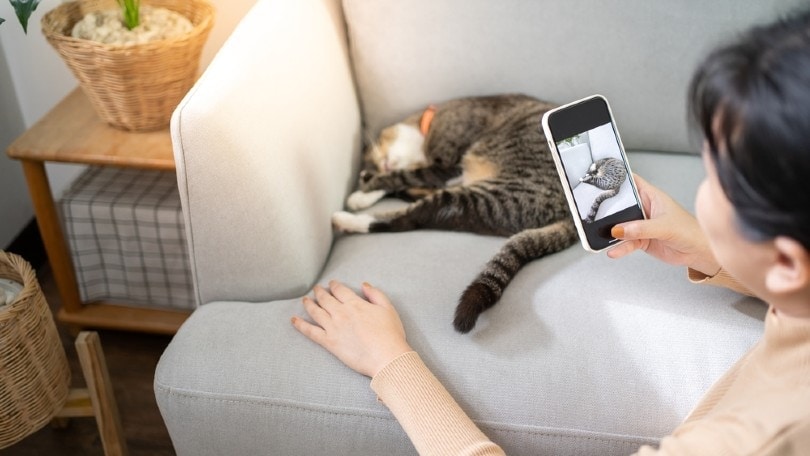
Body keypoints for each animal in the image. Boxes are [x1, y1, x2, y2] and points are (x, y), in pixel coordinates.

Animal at [328, 94, 576, 334]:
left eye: (375, 155)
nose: (377, 167)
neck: (427, 128)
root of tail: (571, 215)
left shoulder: (445, 167)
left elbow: (402, 176)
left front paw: (366, 185)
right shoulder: (444, 174)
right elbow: (402, 182)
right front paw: (363, 194)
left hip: (496, 192)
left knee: (412, 217)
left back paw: (345, 220)